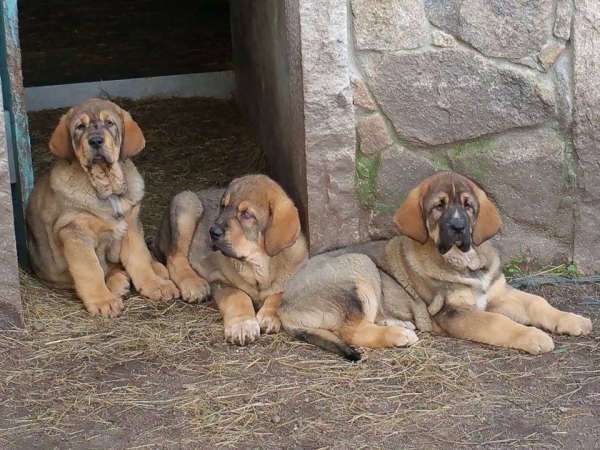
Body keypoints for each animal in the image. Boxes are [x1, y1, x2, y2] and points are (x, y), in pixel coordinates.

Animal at [26, 98, 178, 316]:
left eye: (109, 123)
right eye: (80, 127)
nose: (96, 141)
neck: (107, 186)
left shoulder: (131, 225)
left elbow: (139, 258)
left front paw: (155, 284)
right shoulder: (75, 232)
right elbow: (90, 269)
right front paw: (102, 300)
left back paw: (157, 269)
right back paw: (118, 282)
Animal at [152, 174, 308, 346]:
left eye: (246, 214)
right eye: (223, 206)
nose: (212, 231)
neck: (257, 266)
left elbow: (278, 294)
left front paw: (269, 316)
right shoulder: (219, 280)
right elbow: (237, 295)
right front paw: (241, 325)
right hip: (186, 205)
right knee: (175, 259)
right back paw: (194, 285)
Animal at [278, 171, 592, 360]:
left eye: (467, 205)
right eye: (438, 207)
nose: (457, 227)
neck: (466, 261)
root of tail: (284, 305)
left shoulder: (498, 292)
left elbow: (538, 302)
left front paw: (572, 320)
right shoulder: (454, 312)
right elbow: (499, 322)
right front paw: (533, 336)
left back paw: (396, 322)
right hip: (359, 266)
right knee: (352, 330)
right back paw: (399, 334)